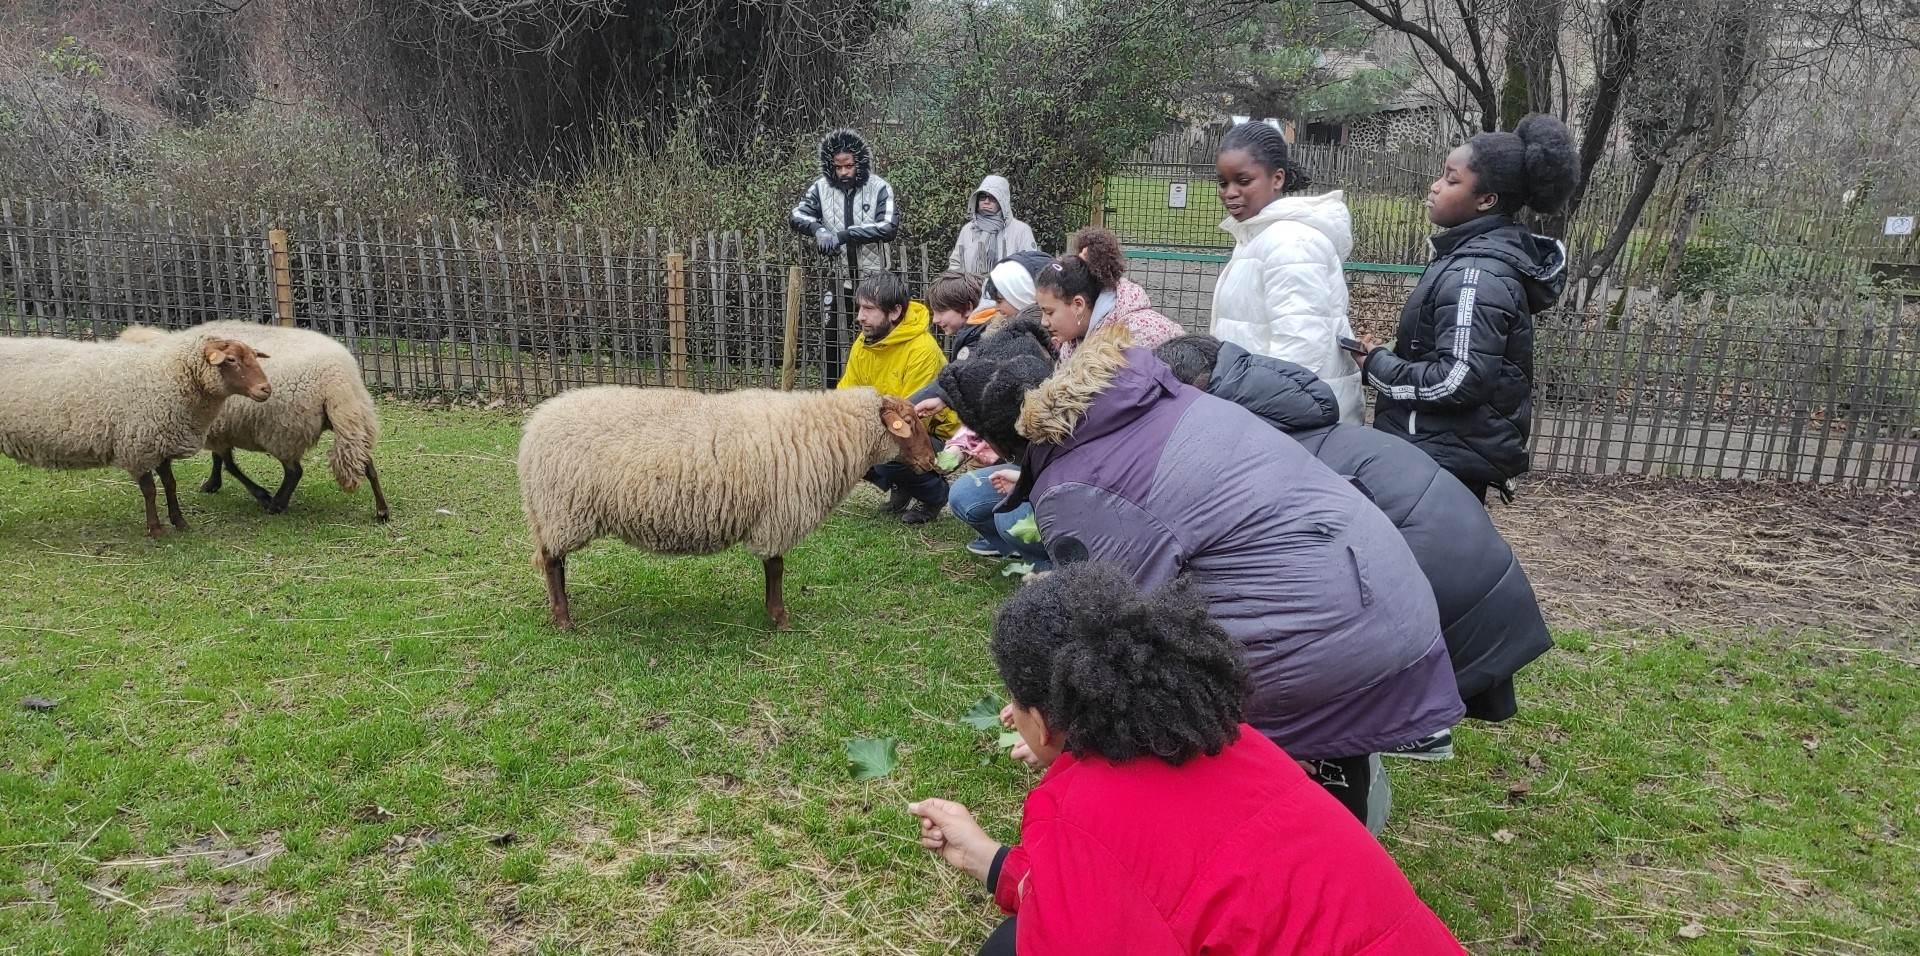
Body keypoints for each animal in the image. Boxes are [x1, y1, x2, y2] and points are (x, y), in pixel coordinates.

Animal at [0, 328, 274, 537]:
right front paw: (156, 530)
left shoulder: (160, 442)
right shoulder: (138, 446)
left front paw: (180, 522)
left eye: (253, 356)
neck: (170, 375)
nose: (266, 389)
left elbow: (170, 484)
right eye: (231, 360)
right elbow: (150, 491)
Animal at [119, 322, 389, 522]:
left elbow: (228, 464)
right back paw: (382, 510)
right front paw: (214, 483)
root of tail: (338, 379)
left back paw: (277, 504)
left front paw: (258, 494)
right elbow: (221, 461)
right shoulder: (219, 428)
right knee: (367, 464)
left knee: (294, 472)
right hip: (353, 419)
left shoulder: (216, 430)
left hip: (283, 429)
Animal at [518, 383, 936, 629]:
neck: (824, 431)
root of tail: (535, 425)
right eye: (910, 422)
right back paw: (563, 619)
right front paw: (780, 618)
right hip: (564, 509)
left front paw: (774, 614)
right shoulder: (777, 515)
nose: (931, 461)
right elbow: (776, 568)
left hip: (556, 511)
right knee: (552, 561)